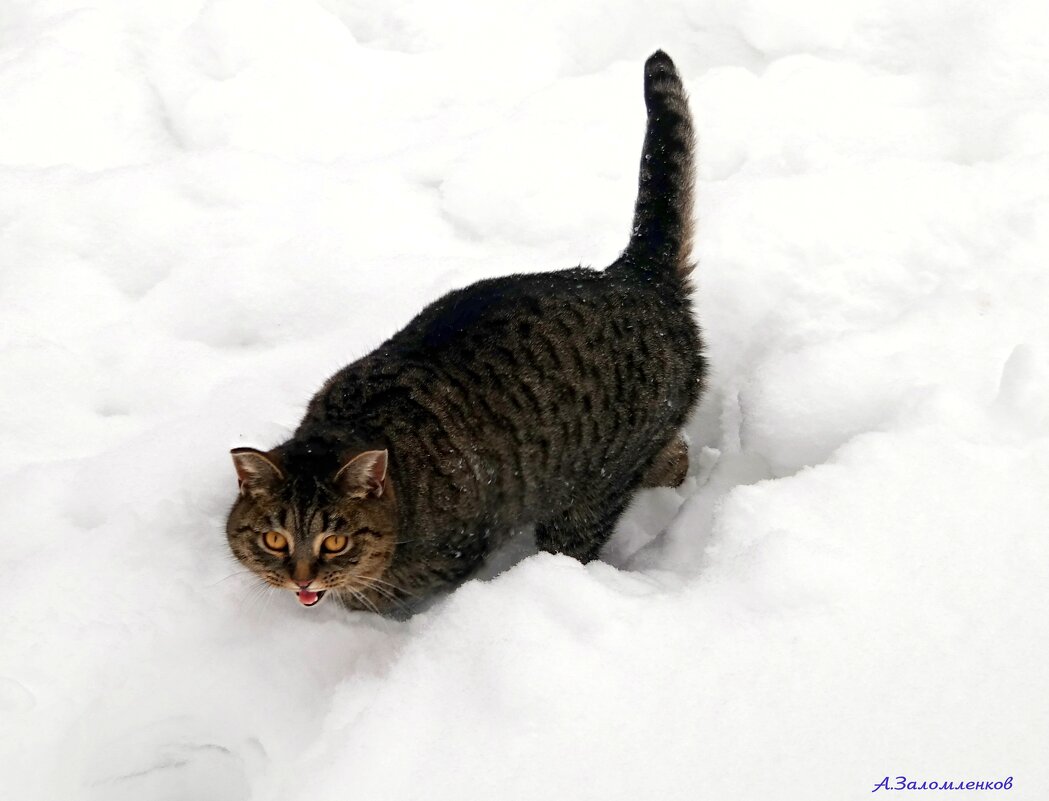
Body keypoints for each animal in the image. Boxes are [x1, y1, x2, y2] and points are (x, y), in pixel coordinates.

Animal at [227, 51, 704, 612]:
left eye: (336, 541)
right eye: (274, 539)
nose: (302, 578)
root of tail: (633, 274)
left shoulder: (453, 553)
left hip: (590, 493)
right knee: (675, 454)